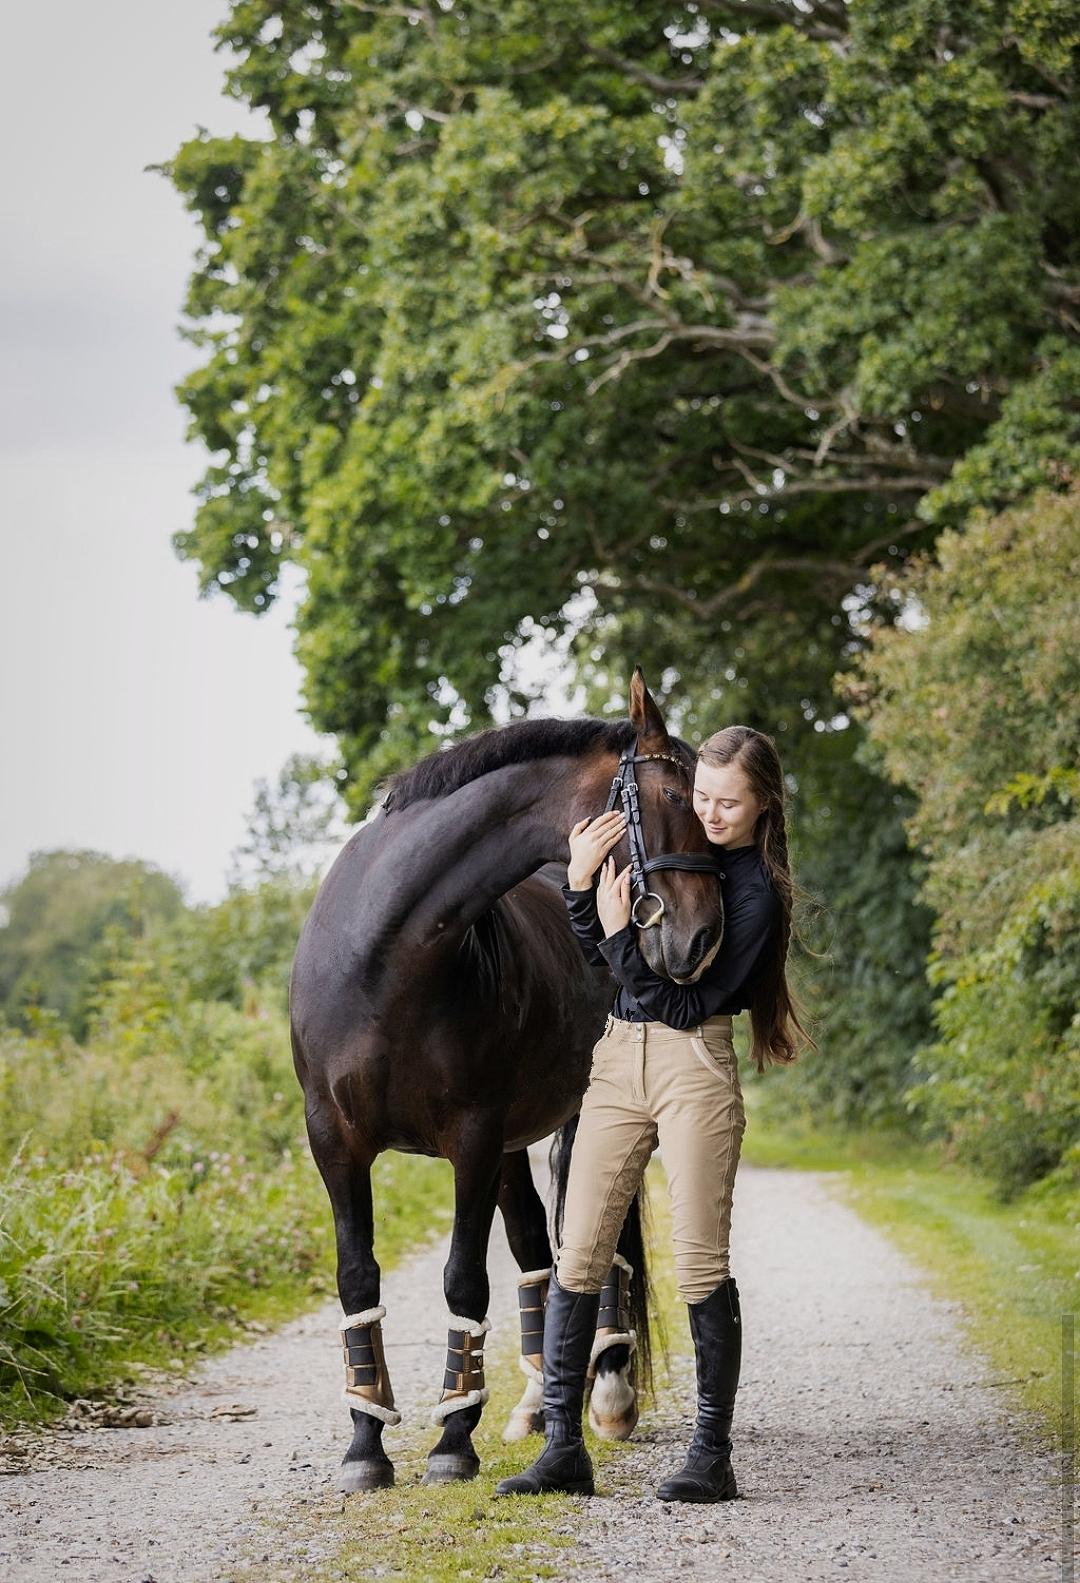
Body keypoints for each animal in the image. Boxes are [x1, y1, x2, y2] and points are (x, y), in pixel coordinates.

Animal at [286, 674, 722, 1488]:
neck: (386, 956)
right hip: (517, 1141)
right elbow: (358, 1276)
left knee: (591, 1226)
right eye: (677, 796)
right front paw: (366, 1441)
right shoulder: (335, 1140)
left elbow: (464, 1278)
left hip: (577, 1118)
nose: (702, 937)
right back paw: (535, 1400)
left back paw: (607, 1390)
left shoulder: (474, 1139)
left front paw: (454, 1439)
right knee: (532, 1248)